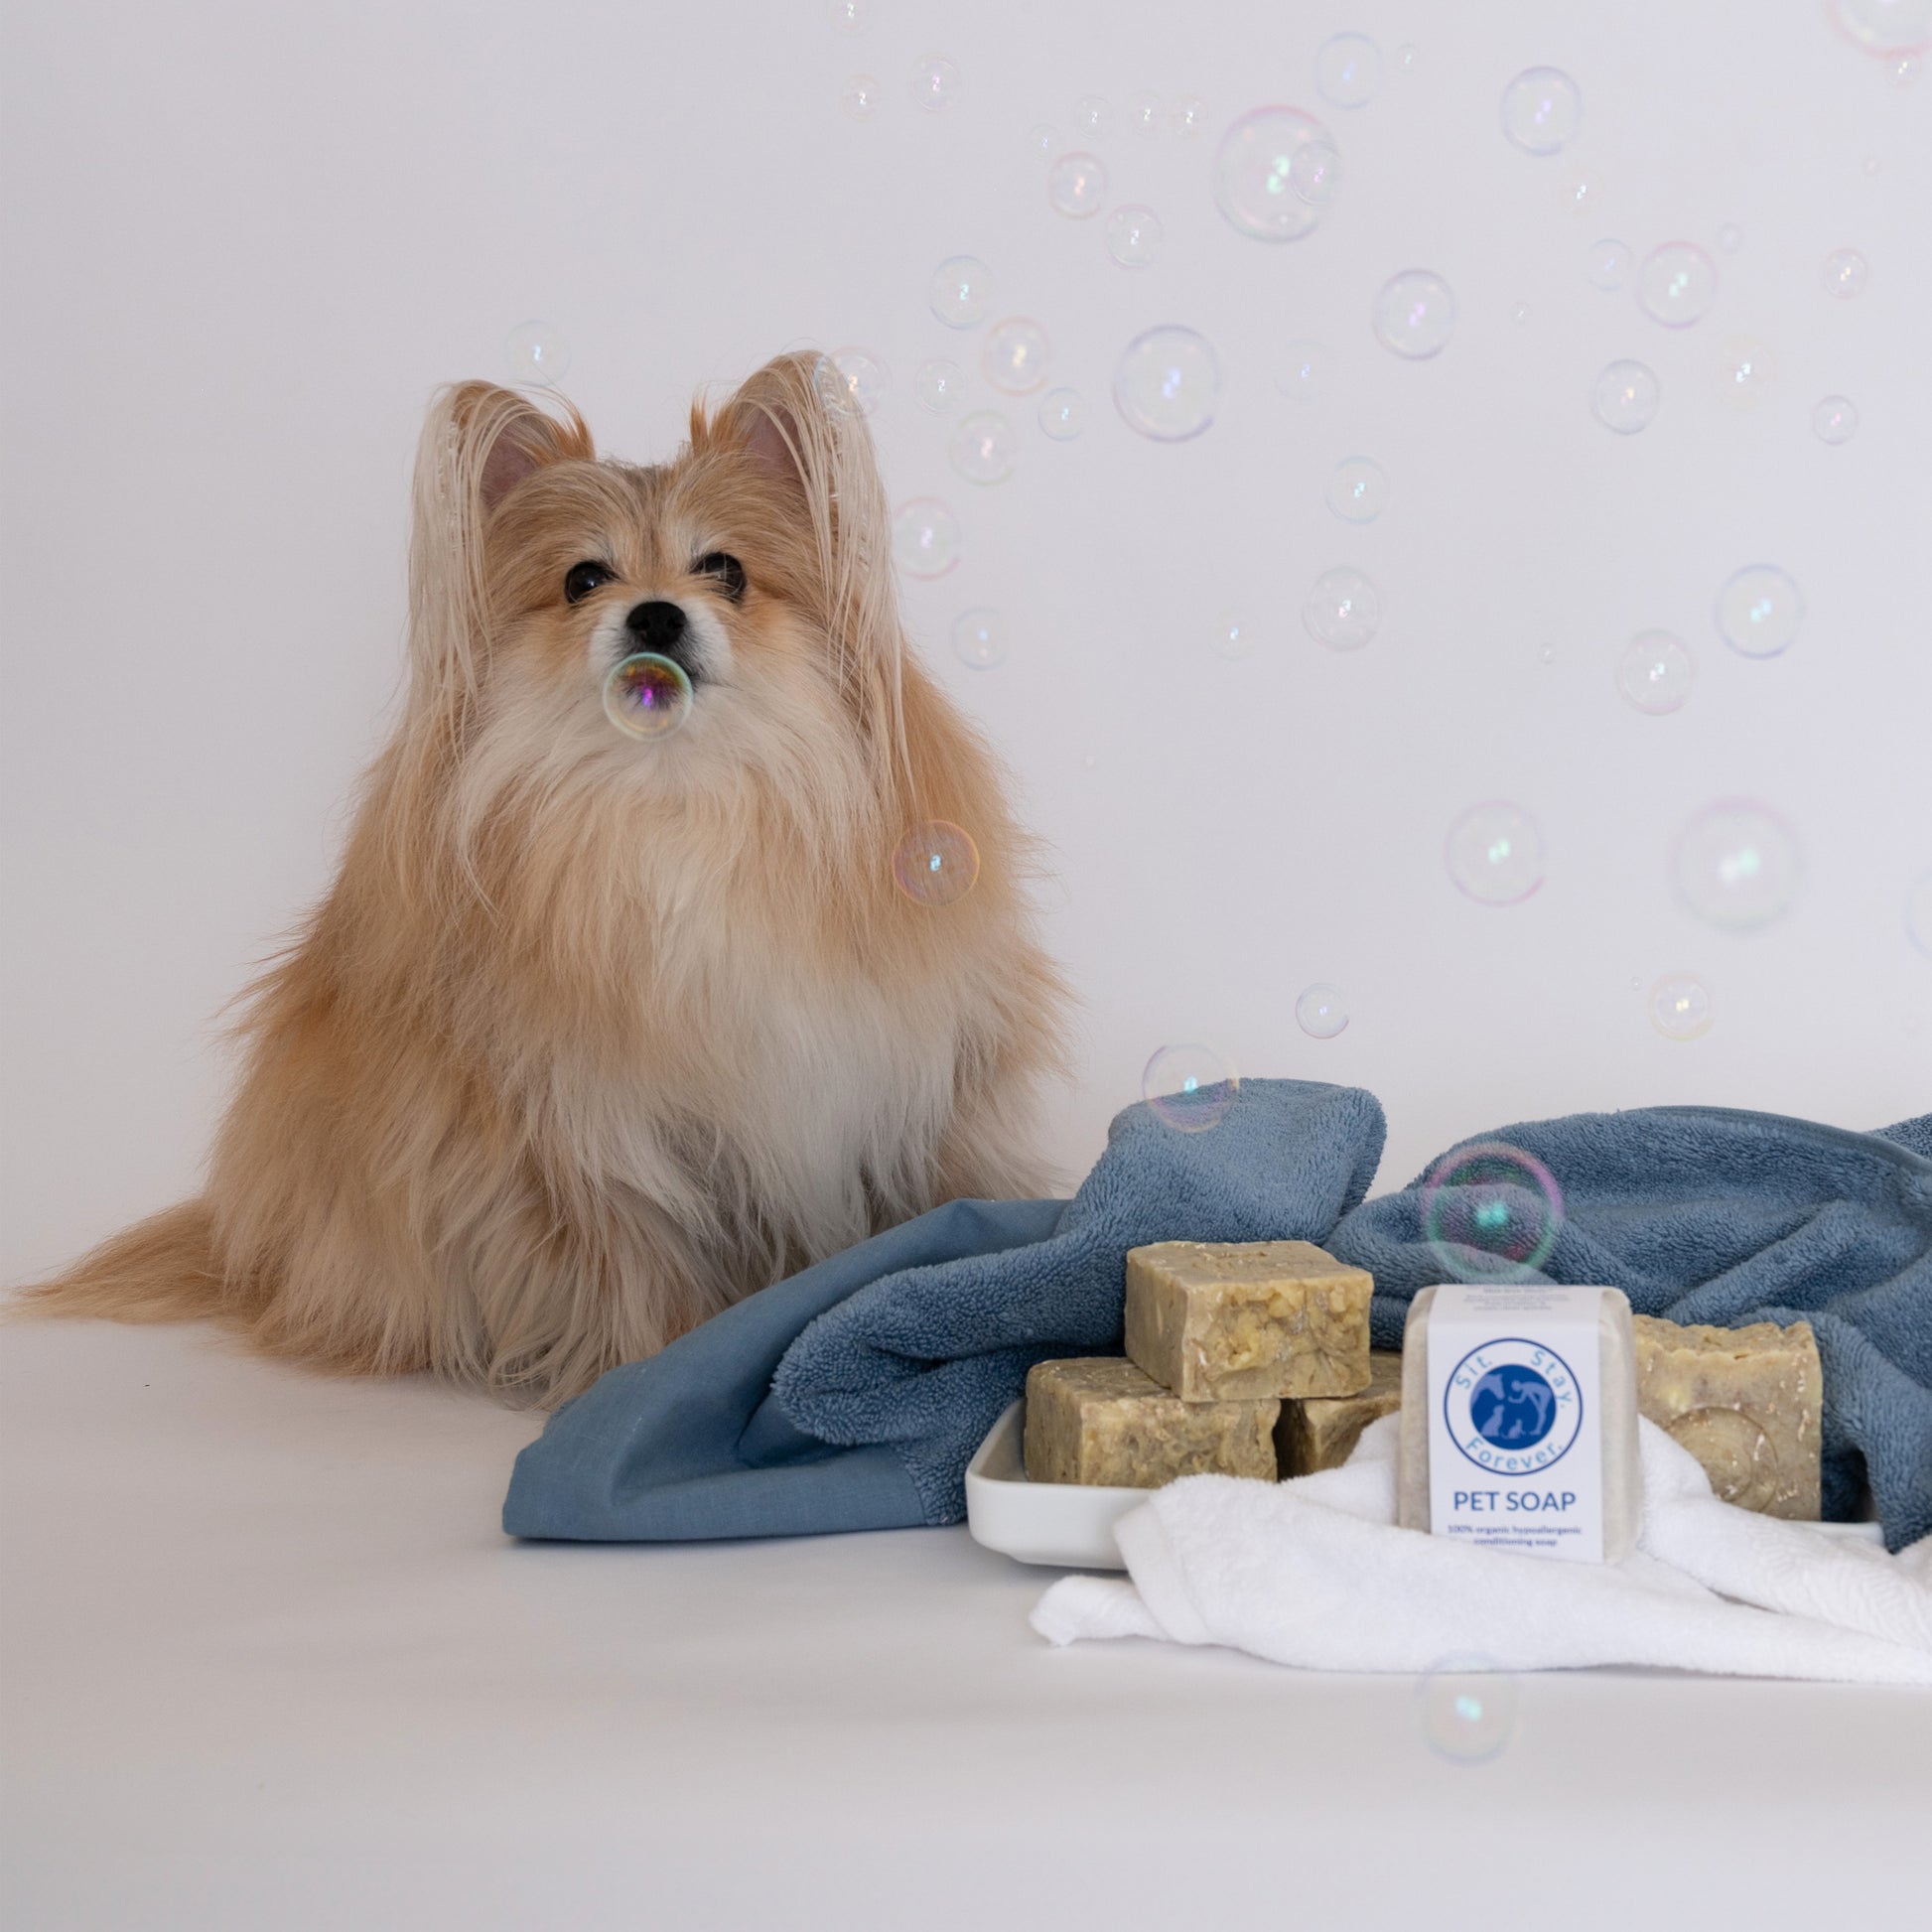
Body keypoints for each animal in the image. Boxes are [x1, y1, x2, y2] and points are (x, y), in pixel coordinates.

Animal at [18, 355, 1073, 1398]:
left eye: (725, 571)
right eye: (583, 579)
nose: (655, 612)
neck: (671, 799)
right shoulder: (578, 1130)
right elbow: (632, 1265)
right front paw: (649, 1367)